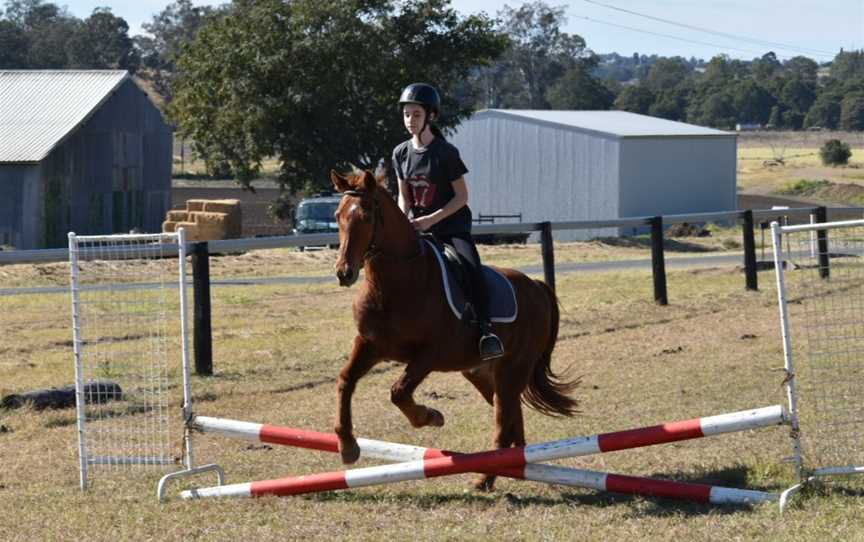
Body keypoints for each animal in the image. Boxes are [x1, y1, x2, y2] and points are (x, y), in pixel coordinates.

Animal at [330, 168, 580, 490]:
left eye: (366, 217)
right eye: (338, 215)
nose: (344, 273)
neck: (397, 284)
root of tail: (537, 286)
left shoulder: (430, 354)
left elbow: (399, 391)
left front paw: (430, 416)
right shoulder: (369, 344)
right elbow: (346, 381)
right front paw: (348, 446)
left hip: (514, 368)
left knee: (504, 419)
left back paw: (486, 477)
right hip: (483, 373)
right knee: (511, 413)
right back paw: (515, 463)